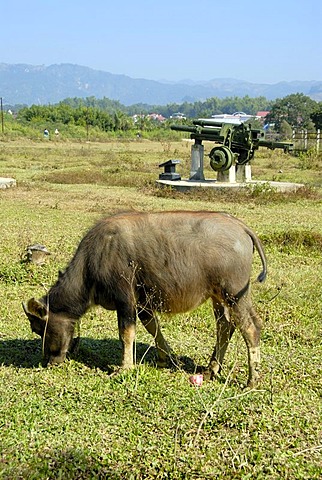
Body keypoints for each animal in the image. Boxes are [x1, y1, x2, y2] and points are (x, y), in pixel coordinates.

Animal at [22, 210, 266, 386]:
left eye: (39, 328)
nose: (49, 361)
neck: (93, 261)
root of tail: (240, 227)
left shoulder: (125, 300)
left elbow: (126, 333)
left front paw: (124, 367)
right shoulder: (143, 304)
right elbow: (153, 328)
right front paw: (167, 359)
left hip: (234, 294)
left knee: (250, 328)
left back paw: (251, 381)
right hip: (219, 297)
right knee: (225, 326)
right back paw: (210, 370)